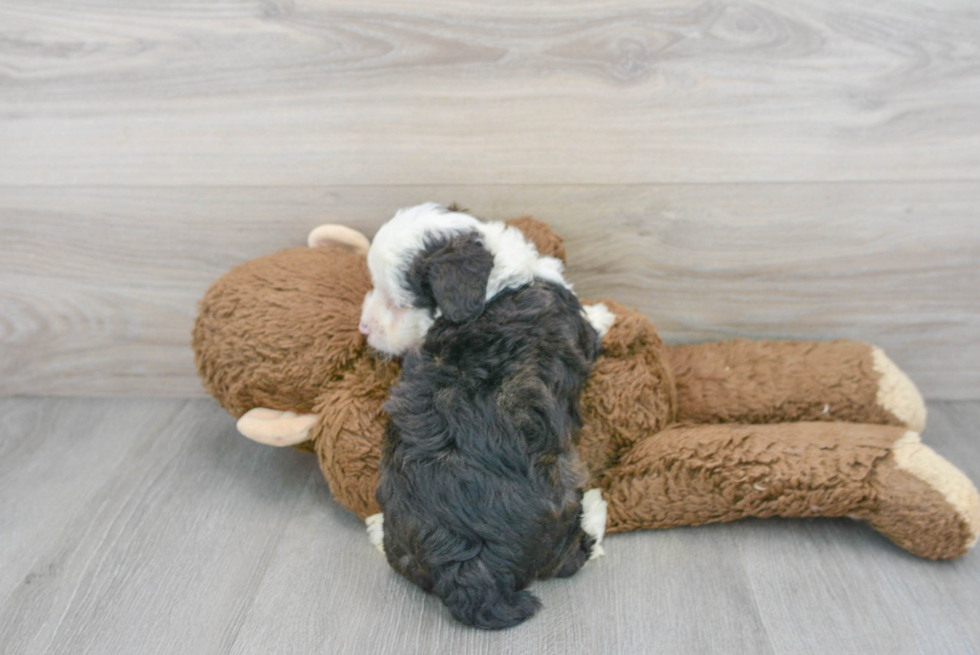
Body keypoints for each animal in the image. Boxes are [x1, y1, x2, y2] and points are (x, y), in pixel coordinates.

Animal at [362, 204, 604, 632]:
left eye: (398, 303)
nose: (363, 328)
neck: (495, 285)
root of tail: (466, 571)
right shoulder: (580, 332)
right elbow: (592, 325)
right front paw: (605, 312)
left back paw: (376, 528)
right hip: (561, 487)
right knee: (570, 557)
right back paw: (596, 512)